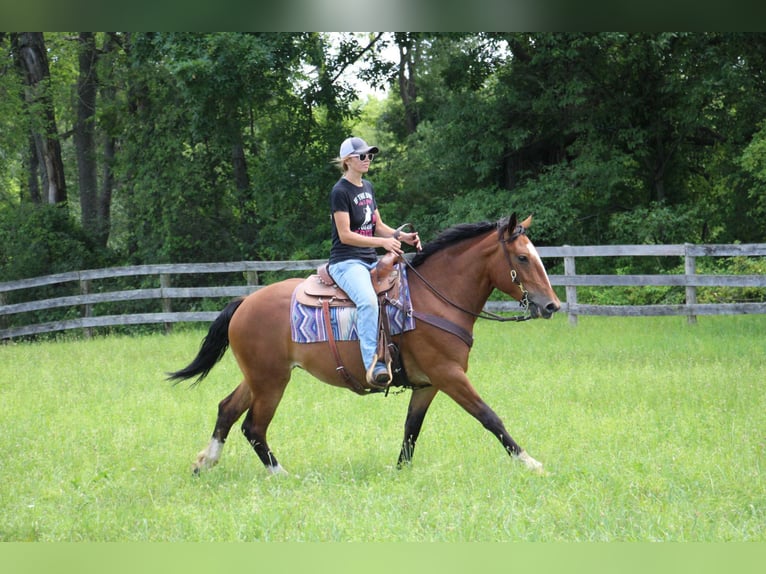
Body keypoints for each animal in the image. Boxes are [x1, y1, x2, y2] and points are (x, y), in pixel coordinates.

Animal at [170, 215, 564, 476]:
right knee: (253, 426)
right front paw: (530, 462)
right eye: (523, 257)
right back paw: (280, 475)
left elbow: (411, 429)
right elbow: (489, 416)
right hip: (271, 382)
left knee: (227, 409)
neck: (433, 299)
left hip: (259, 377)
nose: (551, 306)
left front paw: (399, 472)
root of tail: (244, 303)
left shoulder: (428, 384)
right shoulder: (449, 375)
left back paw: (205, 462)